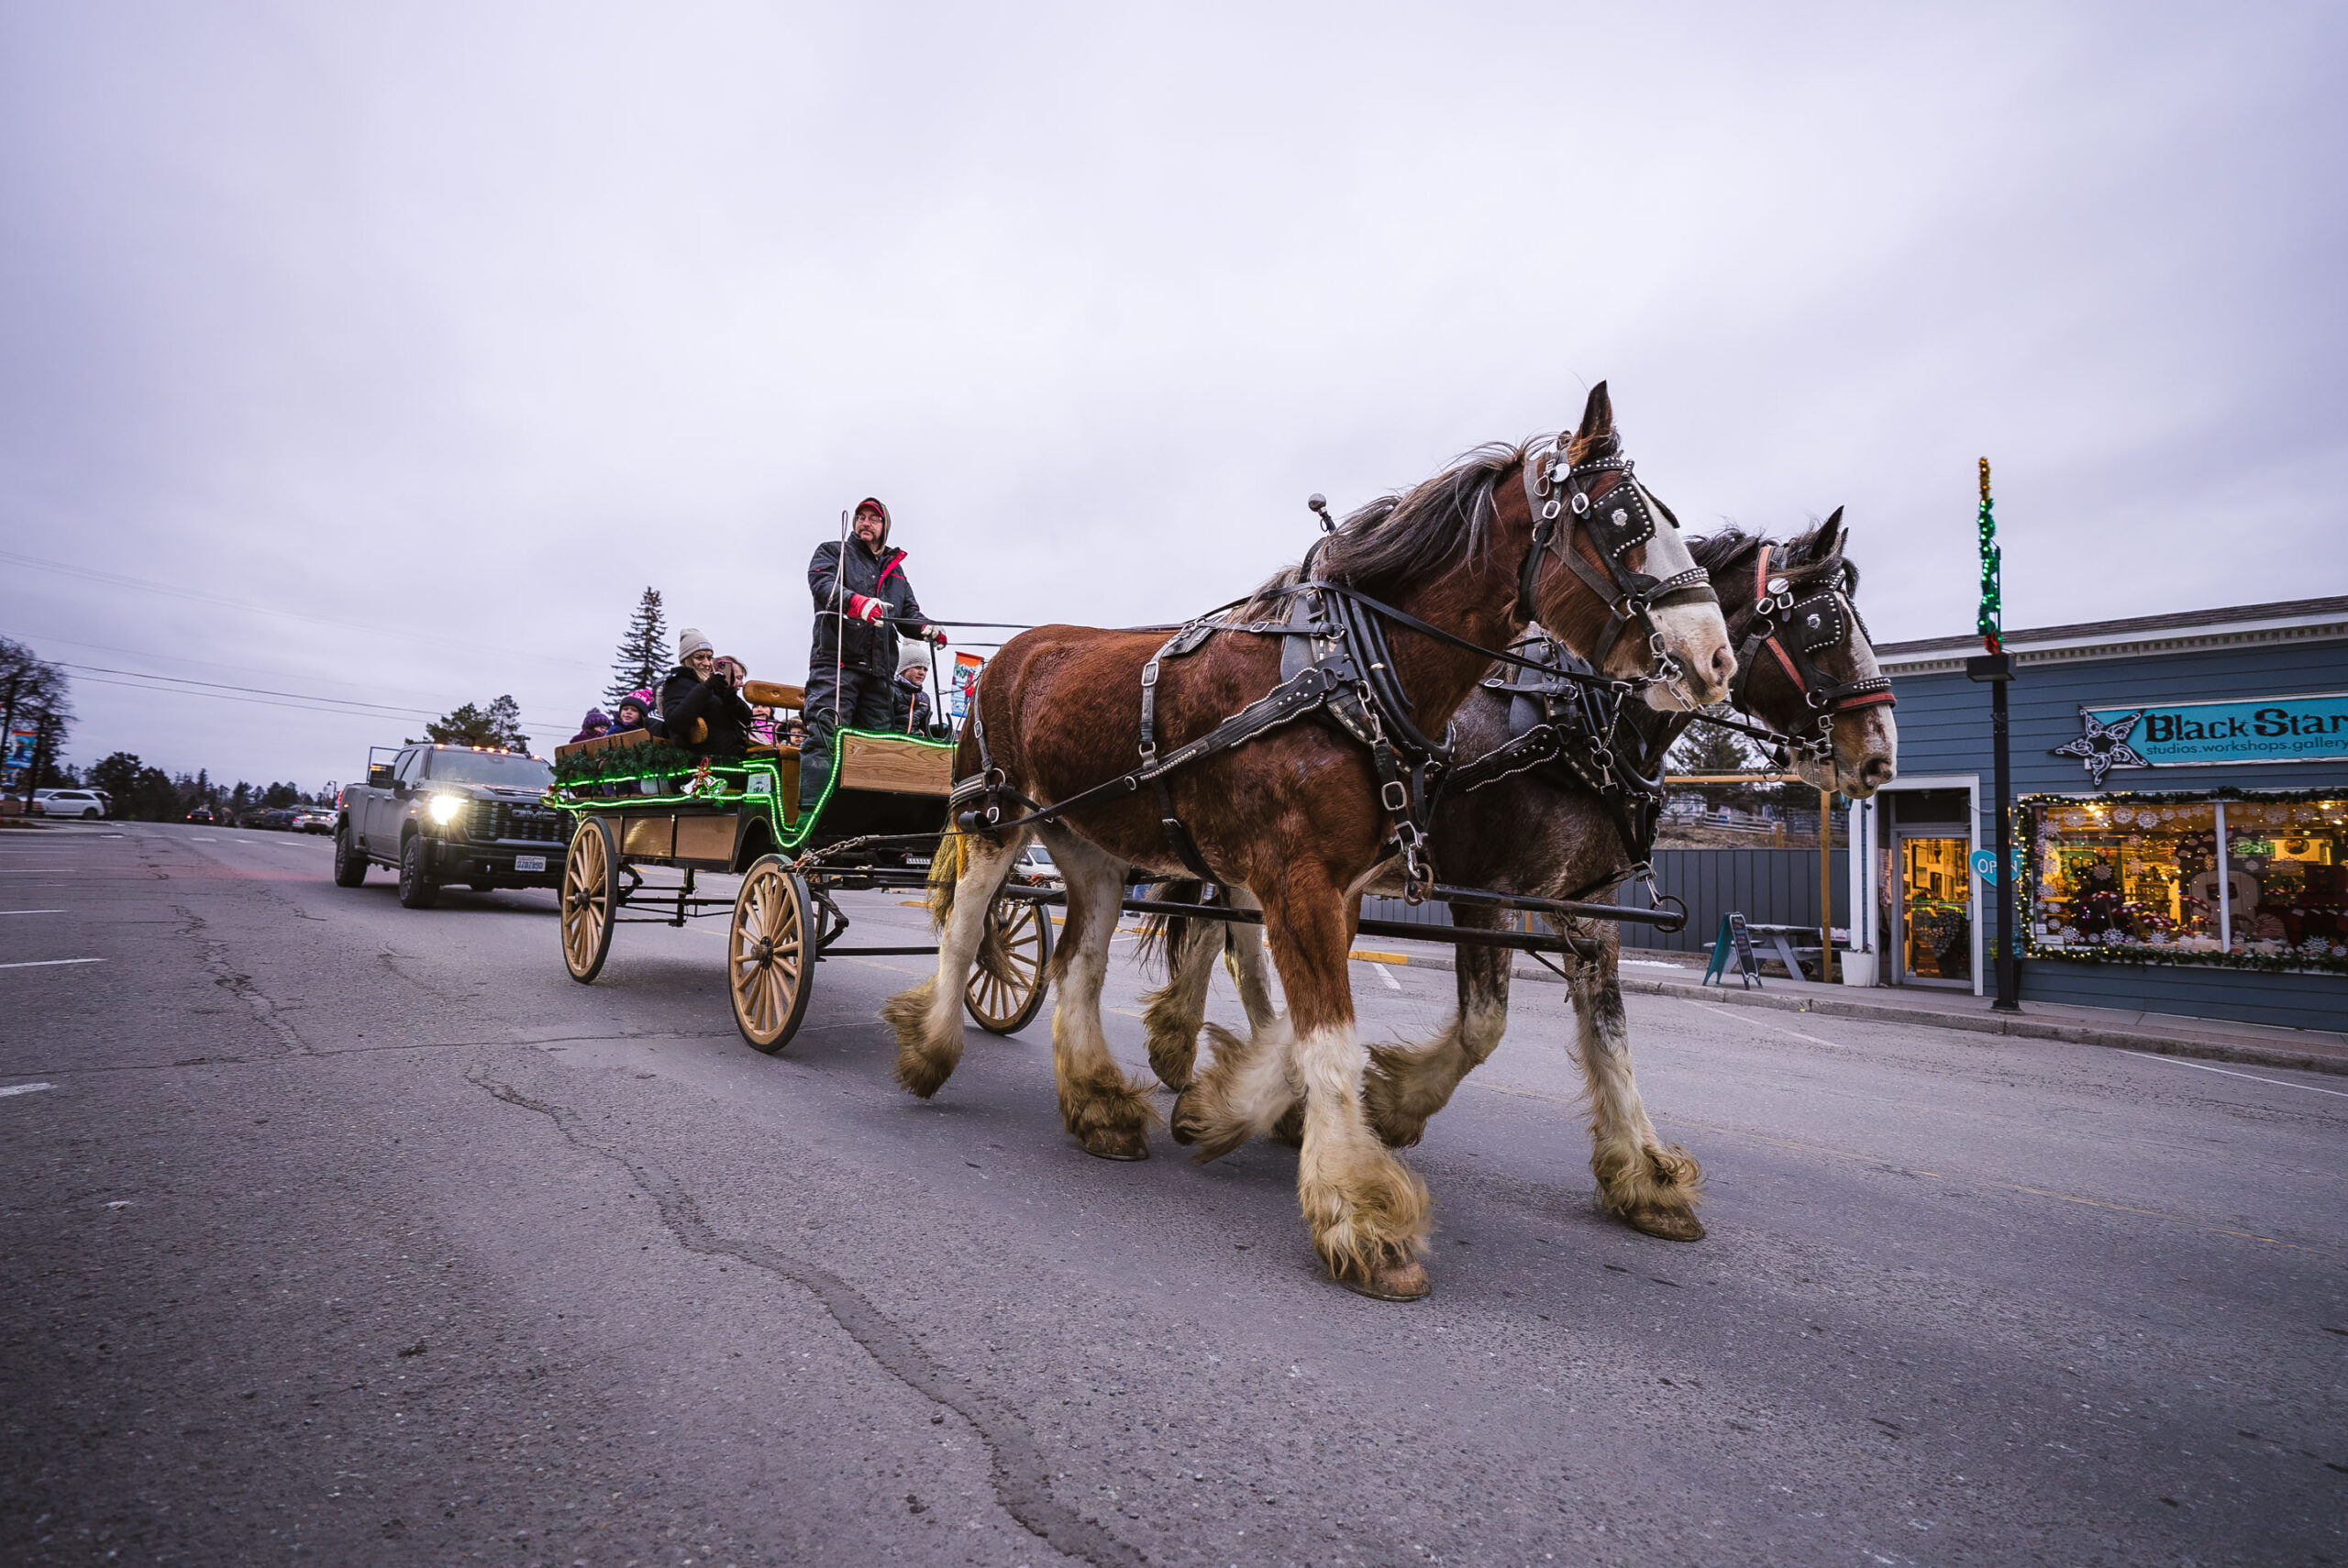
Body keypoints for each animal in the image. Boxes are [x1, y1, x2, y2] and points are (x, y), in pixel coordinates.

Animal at [879, 384, 1735, 1300]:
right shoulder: (1306, 880)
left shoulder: (1346, 887)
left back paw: (1100, 1104)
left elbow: (1307, 1027)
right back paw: (930, 1049)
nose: (1715, 658)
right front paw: (1360, 1212)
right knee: (968, 926)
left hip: (1093, 849)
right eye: (1622, 524)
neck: (1350, 672)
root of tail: (1013, 652)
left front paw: (1223, 1109)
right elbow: (1328, 1036)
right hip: (995, 817)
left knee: (1081, 961)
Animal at [1134, 512, 1898, 1244]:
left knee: (1225, 942)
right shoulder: (1486, 894)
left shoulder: (1590, 907)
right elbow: (1484, 1025)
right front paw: (1391, 1105)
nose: (1881, 757)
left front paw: (1645, 1178)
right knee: (1219, 938)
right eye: (1819, 626)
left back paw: (1207, 1056)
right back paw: (1199, 1055)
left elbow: (1612, 1034)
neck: (1579, 722)